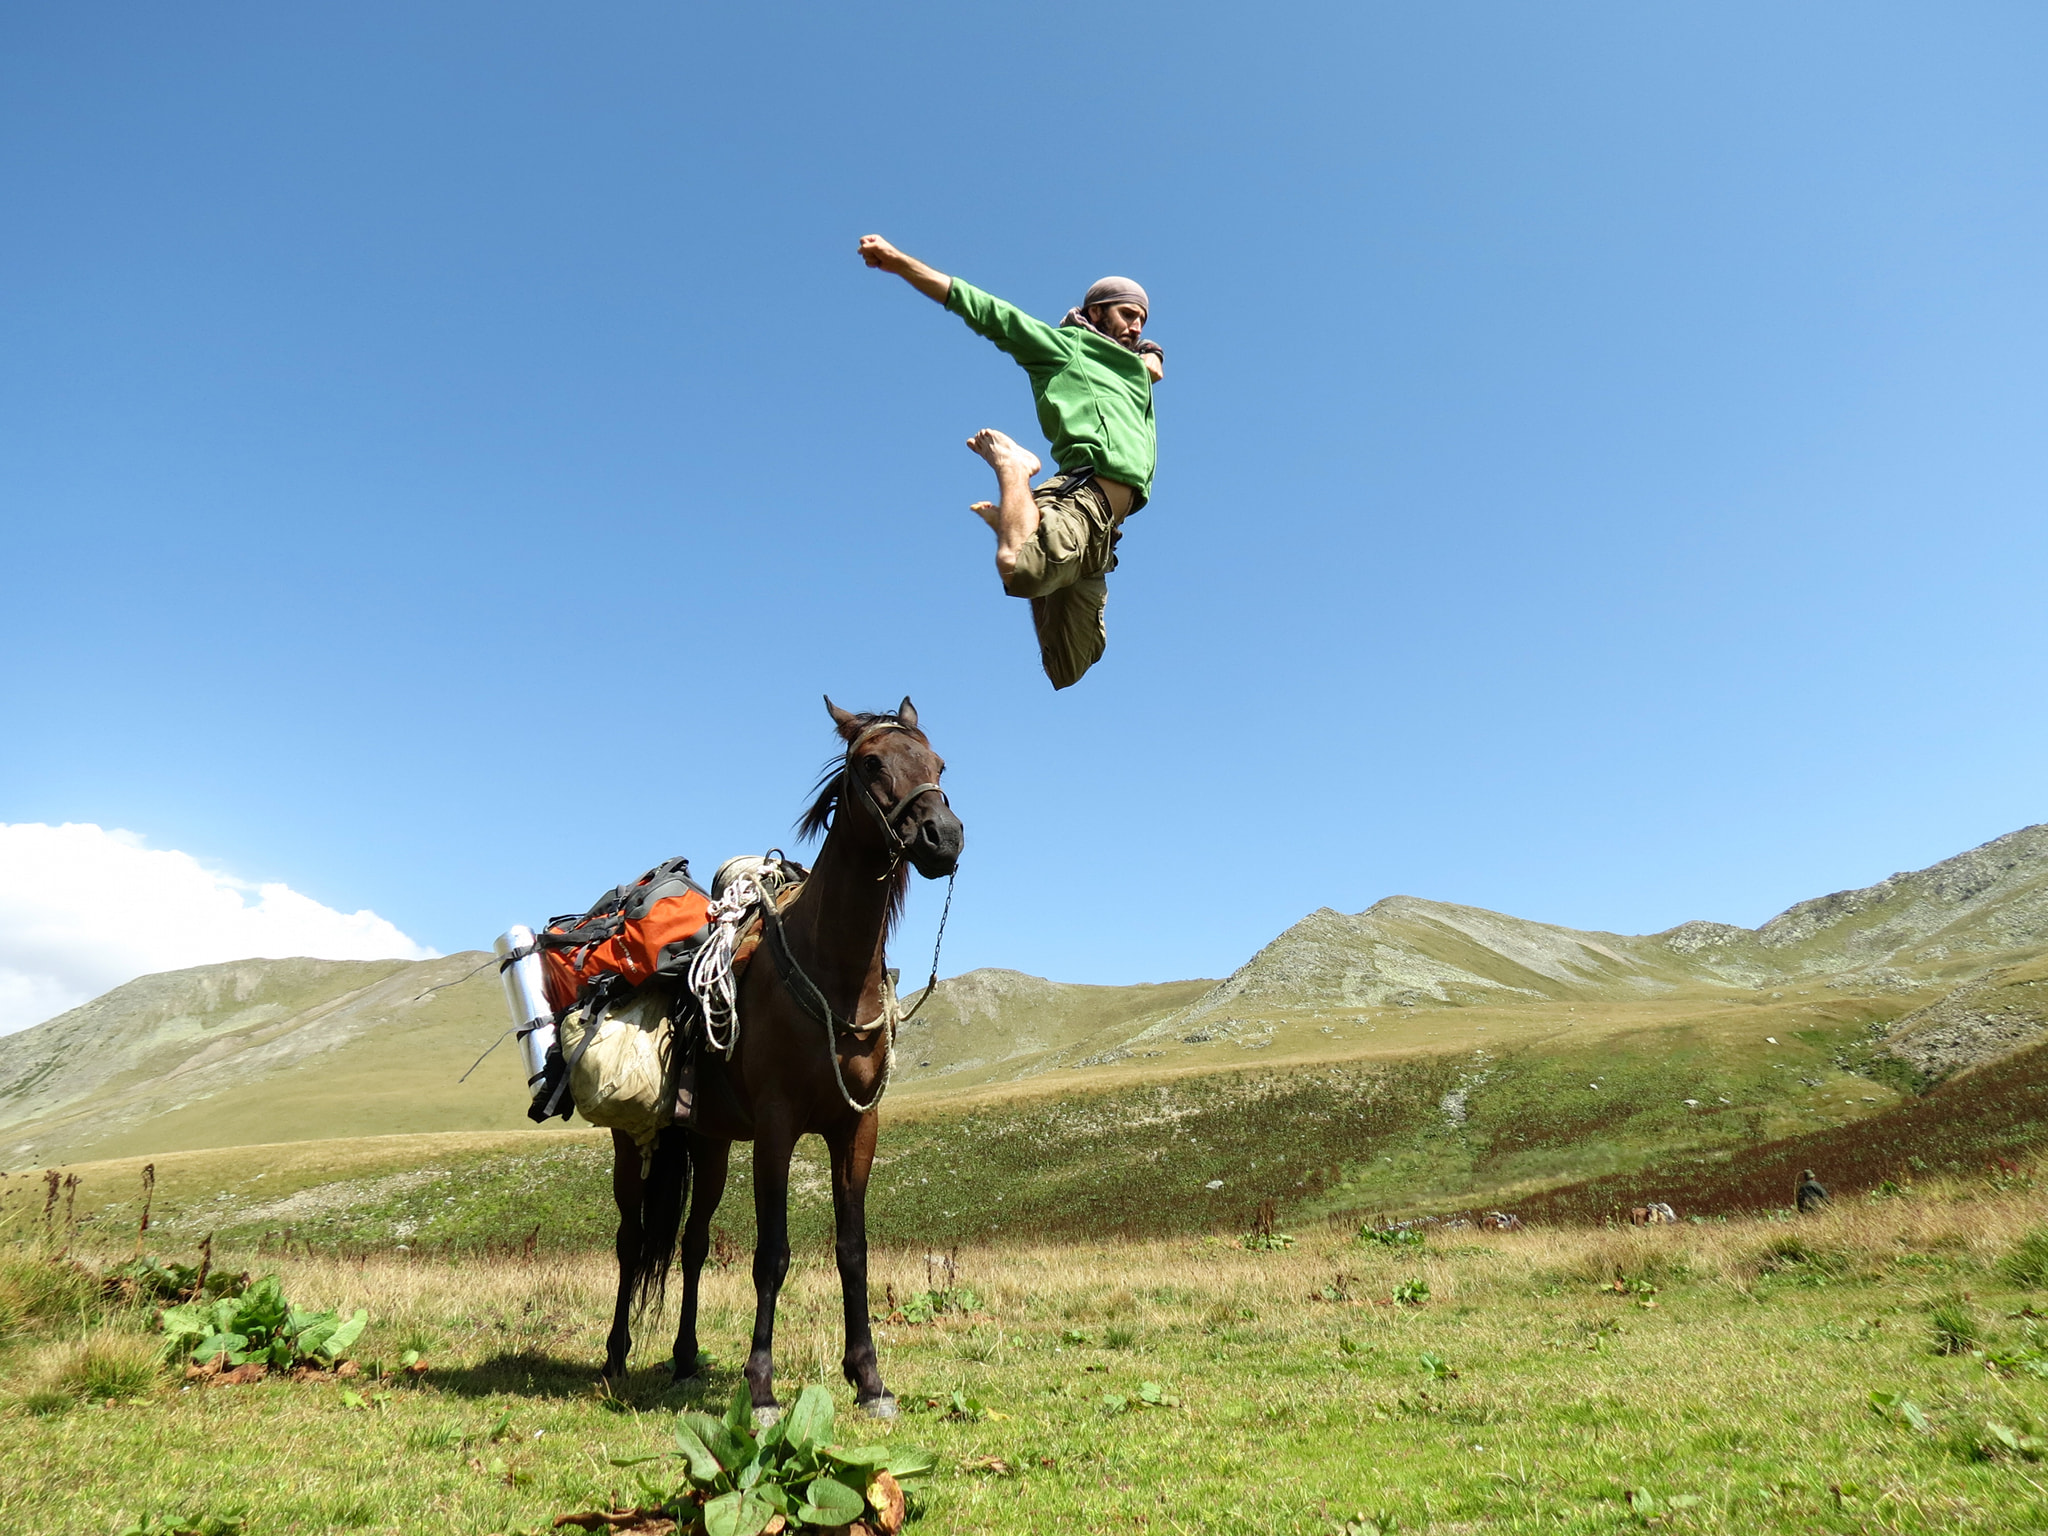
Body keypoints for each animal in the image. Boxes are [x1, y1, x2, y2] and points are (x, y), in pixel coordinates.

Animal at [598, 696, 966, 1417]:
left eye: (939, 764)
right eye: (871, 762)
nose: (944, 836)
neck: (835, 973)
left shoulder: (857, 1127)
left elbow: (852, 1249)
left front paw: (869, 1378)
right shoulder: (776, 1127)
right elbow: (771, 1254)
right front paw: (762, 1387)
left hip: (709, 1142)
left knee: (692, 1244)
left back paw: (685, 1358)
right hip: (637, 1143)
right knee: (632, 1241)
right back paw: (617, 1355)